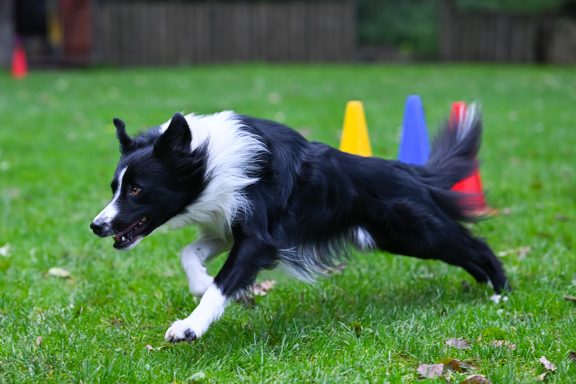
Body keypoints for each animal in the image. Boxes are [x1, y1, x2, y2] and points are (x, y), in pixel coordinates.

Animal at [91, 106, 508, 342]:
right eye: (115, 187)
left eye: (137, 189)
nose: (97, 226)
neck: (206, 160)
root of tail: (407, 170)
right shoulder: (224, 226)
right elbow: (189, 253)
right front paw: (201, 283)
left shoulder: (258, 238)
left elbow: (223, 283)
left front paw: (191, 326)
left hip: (413, 231)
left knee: (475, 245)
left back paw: (501, 291)